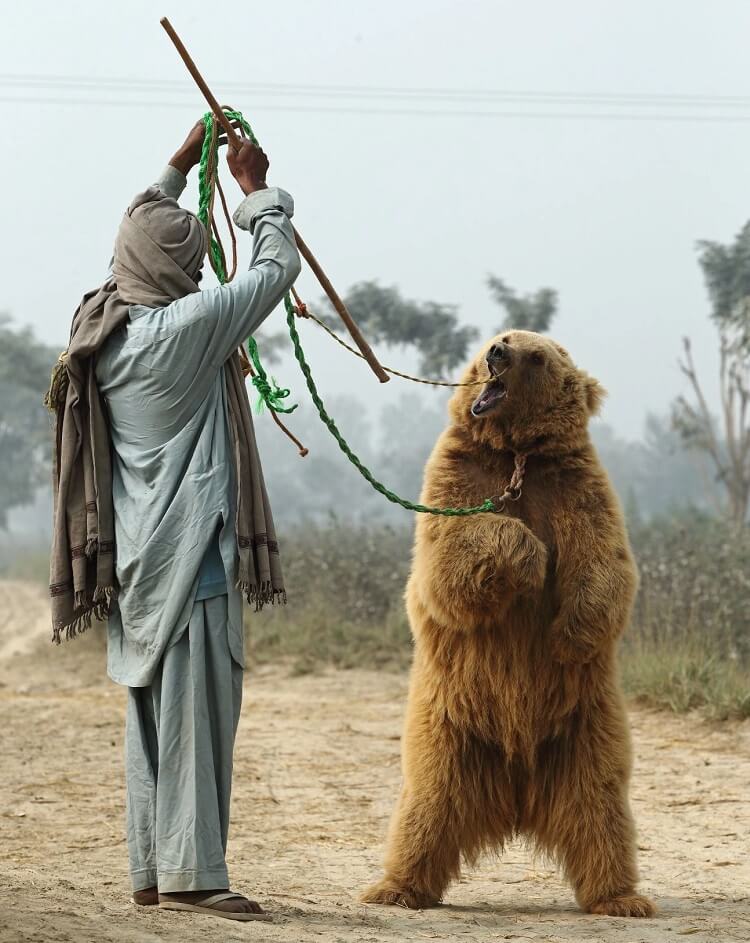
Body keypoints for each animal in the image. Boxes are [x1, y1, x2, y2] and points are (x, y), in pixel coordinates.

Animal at [362, 330, 656, 916]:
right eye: (496, 339)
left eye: (536, 355)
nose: (498, 353)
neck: (517, 455)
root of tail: (518, 798)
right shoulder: (458, 476)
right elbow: (451, 553)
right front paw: (532, 558)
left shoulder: (574, 485)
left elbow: (603, 562)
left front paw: (567, 637)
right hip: (450, 728)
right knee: (427, 802)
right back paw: (397, 888)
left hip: (585, 727)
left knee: (600, 805)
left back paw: (620, 896)